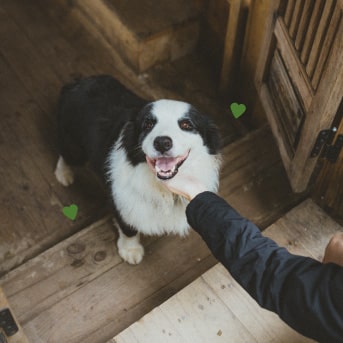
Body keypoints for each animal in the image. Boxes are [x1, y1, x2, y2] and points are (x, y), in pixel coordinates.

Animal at [55, 74, 222, 264]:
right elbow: (128, 228)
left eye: (186, 125)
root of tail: (77, 82)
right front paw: (130, 250)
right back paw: (63, 174)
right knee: (64, 154)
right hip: (74, 147)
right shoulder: (120, 200)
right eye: (148, 124)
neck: (160, 187)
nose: (162, 142)